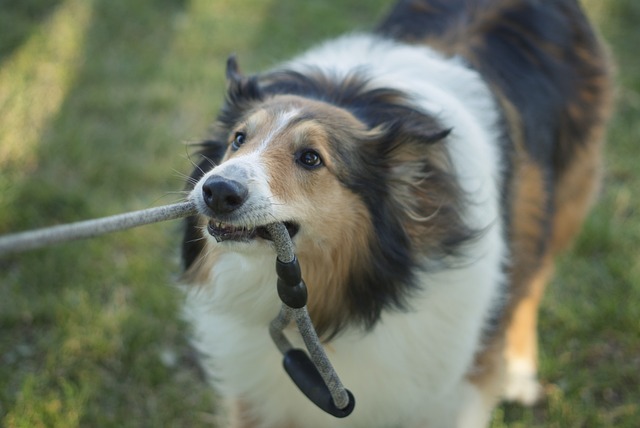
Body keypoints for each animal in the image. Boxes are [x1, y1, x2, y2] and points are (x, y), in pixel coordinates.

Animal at [179, 1, 608, 426]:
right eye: (238, 138)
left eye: (311, 158)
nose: (217, 191)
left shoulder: (453, 392)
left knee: (530, 284)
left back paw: (519, 374)